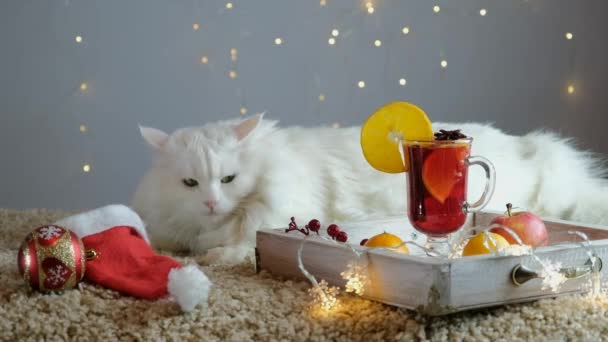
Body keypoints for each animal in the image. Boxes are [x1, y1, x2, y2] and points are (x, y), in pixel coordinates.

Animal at [132, 113, 608, 264]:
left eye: (228, 180)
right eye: (190, 183)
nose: (212, 202)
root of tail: (535, 149)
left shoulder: (258, 225)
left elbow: (231, 249)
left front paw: (209, 257)